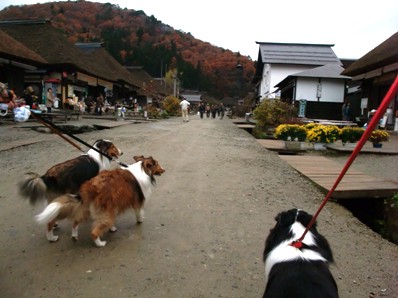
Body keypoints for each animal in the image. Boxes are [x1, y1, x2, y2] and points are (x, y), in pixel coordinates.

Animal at [34, 156, 165, 247]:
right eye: (157, 164)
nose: (164, 170)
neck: (142, 169)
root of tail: (89, 188)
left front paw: (112, 228)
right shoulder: (137, 200)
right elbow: (139, 212)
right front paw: (140, 220)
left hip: (88, 209)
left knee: (75, 222)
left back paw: (72, 236)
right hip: (103, 211)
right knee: (94, 231)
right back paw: (100, 243)